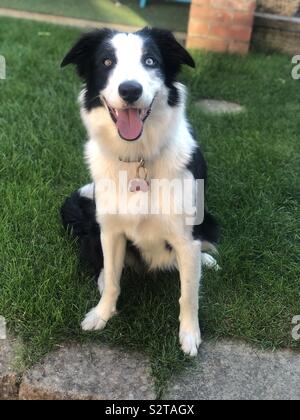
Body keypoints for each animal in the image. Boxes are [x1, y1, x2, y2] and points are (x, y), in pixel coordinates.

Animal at [61, 27, 220, 354]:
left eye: (150, 60)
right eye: (106, 61)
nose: (130, 90)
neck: (138, 158)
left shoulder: (185, 237)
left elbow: (189, 294)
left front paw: (189, 336)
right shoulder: (111, 230)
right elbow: (113, 278)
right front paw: (102, 314)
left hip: (208, 220)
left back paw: (206, 260)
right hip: (93, 228)